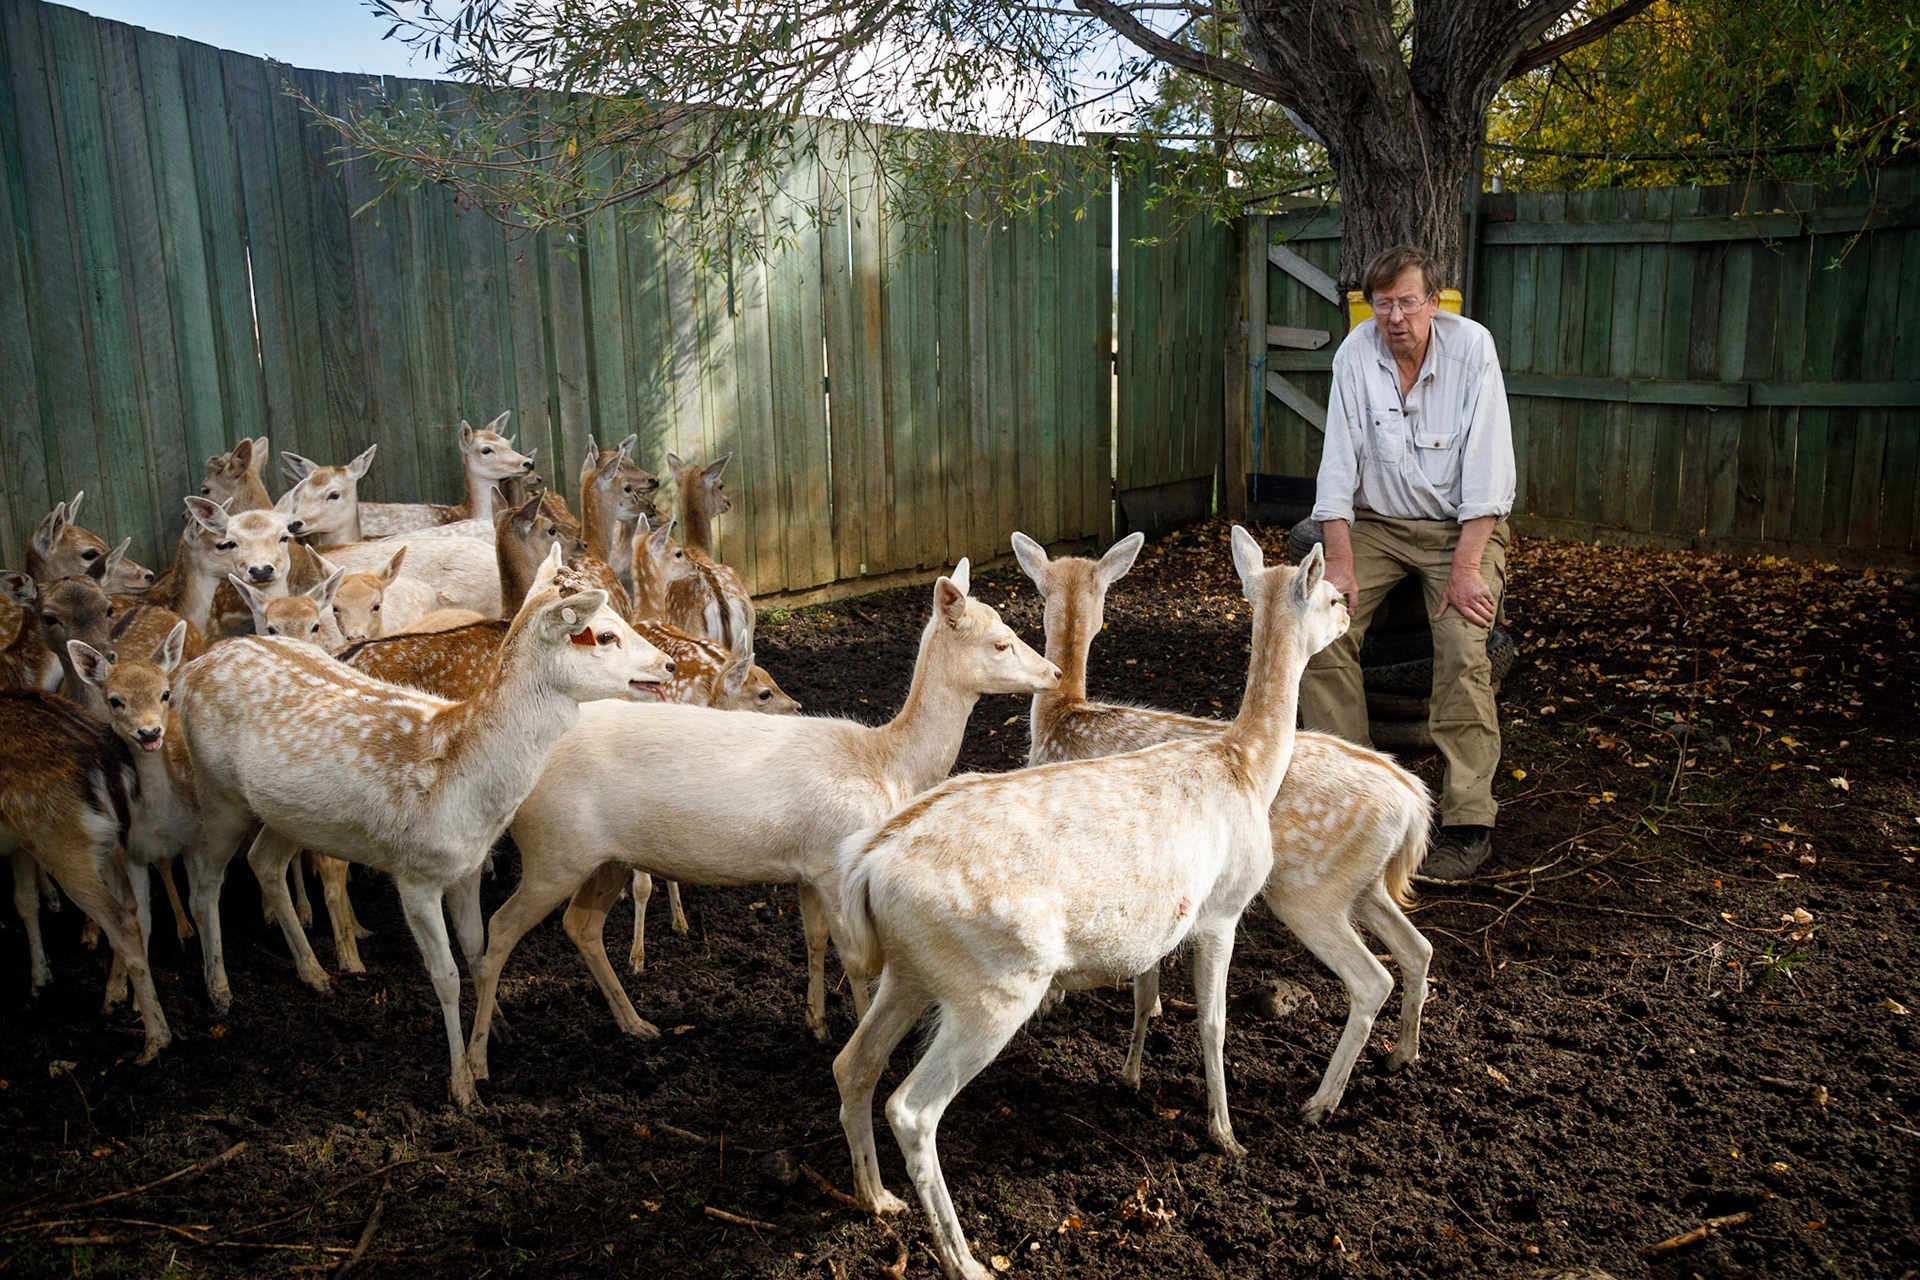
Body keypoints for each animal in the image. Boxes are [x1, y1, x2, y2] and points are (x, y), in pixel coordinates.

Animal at [0, 689, 170, 1064]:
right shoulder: (18, 843)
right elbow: (25, 901)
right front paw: (40, 981)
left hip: (61, 837)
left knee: (121, 919)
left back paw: (155, 1041)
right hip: (102, 835)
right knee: (132, 904)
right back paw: (113, 998)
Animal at [174, 546, 674, 1105]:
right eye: (604, 634)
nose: (668, 664)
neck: (462, 784)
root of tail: (193, 668)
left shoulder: (467, 868)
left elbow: (478, 949)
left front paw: (497, 1029)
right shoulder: (413, 875)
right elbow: (445, 974)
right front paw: (462, 1087)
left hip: (289, 813)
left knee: (263, 861)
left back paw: (315, 974)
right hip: (216, 792)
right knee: (205, 881)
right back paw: (219, 991)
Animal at [464, 561, 1060, 1082]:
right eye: (1001, 641)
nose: (1054, 672)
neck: (889, 764)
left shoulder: (809, 867)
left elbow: (814, 940)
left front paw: (815, 1023)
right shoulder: (833, 863)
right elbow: (855, 959)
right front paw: (851, 1032)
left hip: (604, 856)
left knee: (580, 925)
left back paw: (637, 1024)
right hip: (552, 850)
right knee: (500, 929)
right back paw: (478, 1063)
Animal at [829, 532, 1347, 1280]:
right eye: (1332, 594)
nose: (1350, 613)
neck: (1249, 767)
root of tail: (867, 866)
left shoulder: (1166, 923)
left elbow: (1148, 995)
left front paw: (1132, 1079)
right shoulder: (1222, 907)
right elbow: (1213, 1024)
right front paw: (1226, 1135)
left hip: (910, 970)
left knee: (853, 1064)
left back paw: (877, 1200)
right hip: (994, 982)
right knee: (913, 1108)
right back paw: (965, 1259)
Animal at [1011, 531, 1434, 1124]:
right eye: (1331, 598)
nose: (1348, 611)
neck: (1060, 719)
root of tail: (1414, 800)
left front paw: (1062, 1005)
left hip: (1308, 891)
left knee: (1373, 978)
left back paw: (1318, 1104)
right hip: (1364, 884)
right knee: (1418, 949)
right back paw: (1402, 1057)